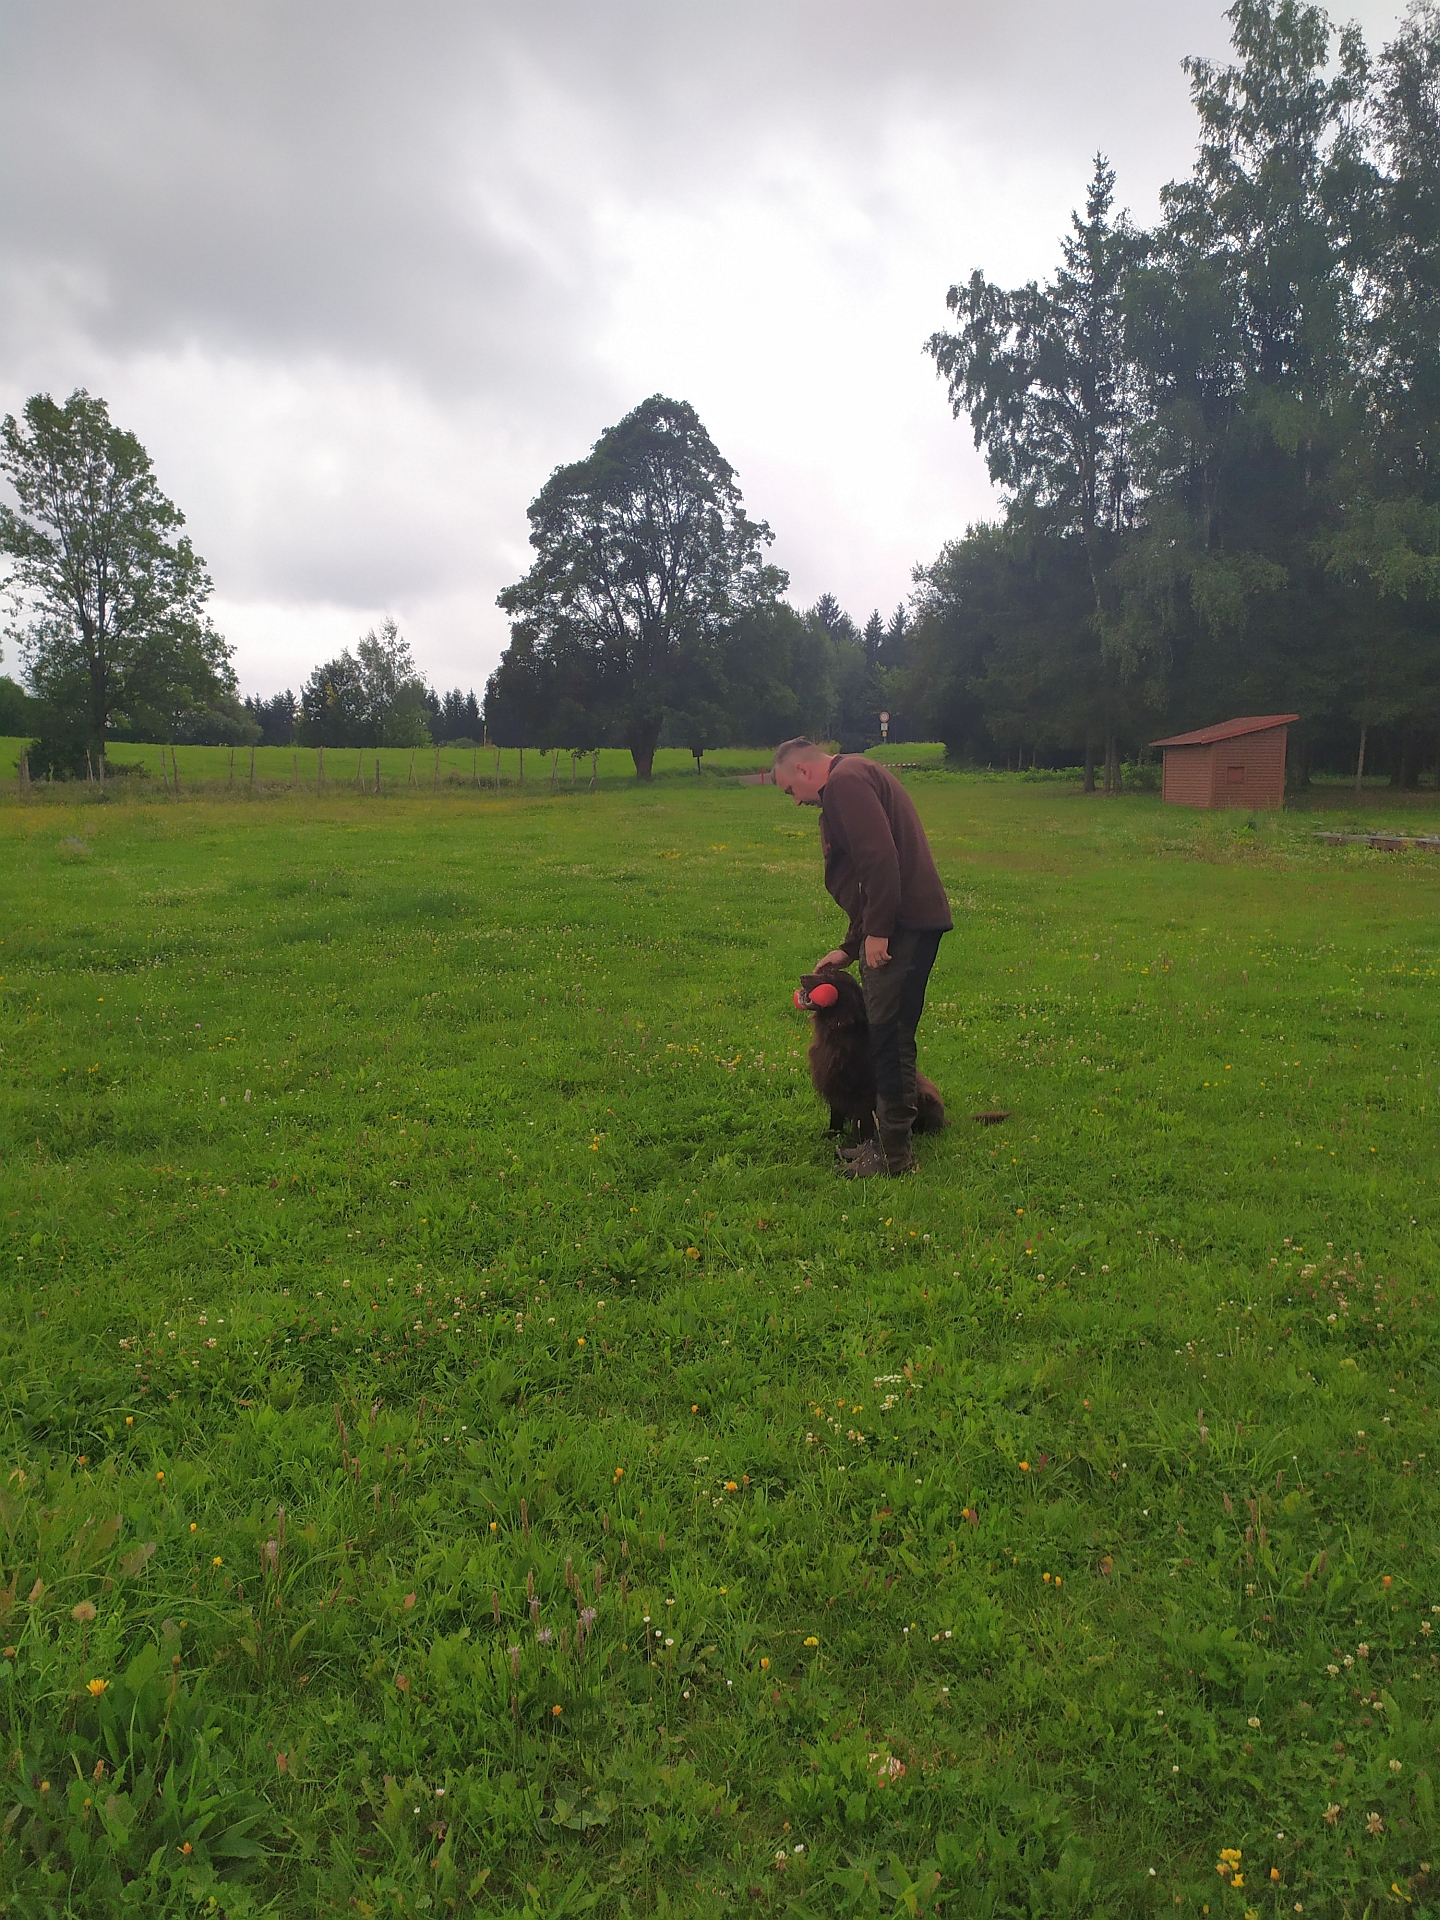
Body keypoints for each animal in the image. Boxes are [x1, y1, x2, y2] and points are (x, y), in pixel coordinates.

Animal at [794, 966, 947, 1143]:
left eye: (829, 975)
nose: (802, 977)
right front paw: (833, 1135)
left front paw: (854, 1143)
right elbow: (836, 1115)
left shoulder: (861, 1091)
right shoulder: (834, 1082)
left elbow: (860, 1121)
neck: (838, 1030)